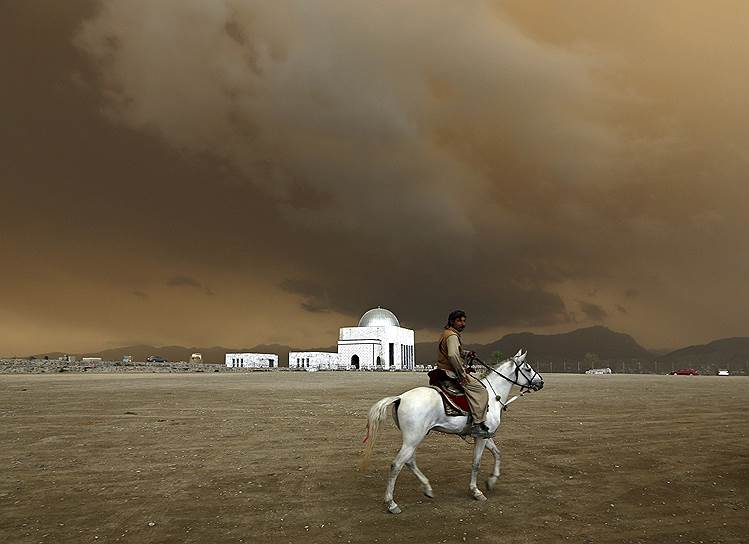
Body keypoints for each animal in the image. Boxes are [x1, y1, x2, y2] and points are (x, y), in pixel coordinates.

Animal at [360, 350, 540, 512]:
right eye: (528, 368)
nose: (541, 382)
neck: (492, 395)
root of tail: (401, 397)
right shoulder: (481, 438)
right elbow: (476, 463)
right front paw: (476, 491)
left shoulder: (485, 435)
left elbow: (498, 453)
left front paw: (492, 481)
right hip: (413, 438)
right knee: (396, 465)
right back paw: (391, 503)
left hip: (413, 438)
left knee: (409, 461)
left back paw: (427, 488)